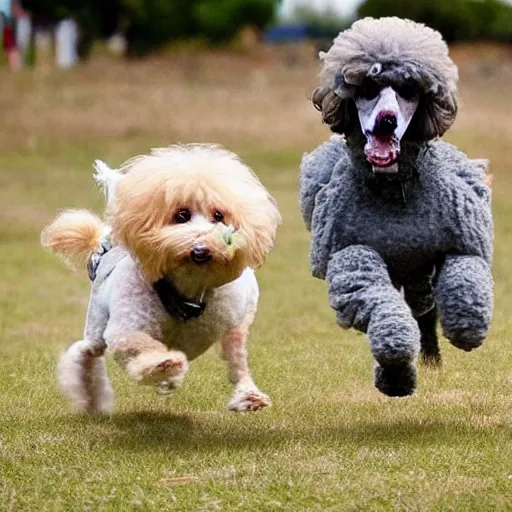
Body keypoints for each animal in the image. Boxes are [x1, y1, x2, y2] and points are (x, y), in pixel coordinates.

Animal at [42, 143, 282, 412]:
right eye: (182, 215)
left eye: (219, 215)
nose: (202, 250)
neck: (187, 290)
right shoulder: (125, 329)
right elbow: (139, 345)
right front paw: (163, 364)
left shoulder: (238, 317)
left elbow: (237, 357)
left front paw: (248, 395)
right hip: (96, 324)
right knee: (85, 353)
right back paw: (92, 400)